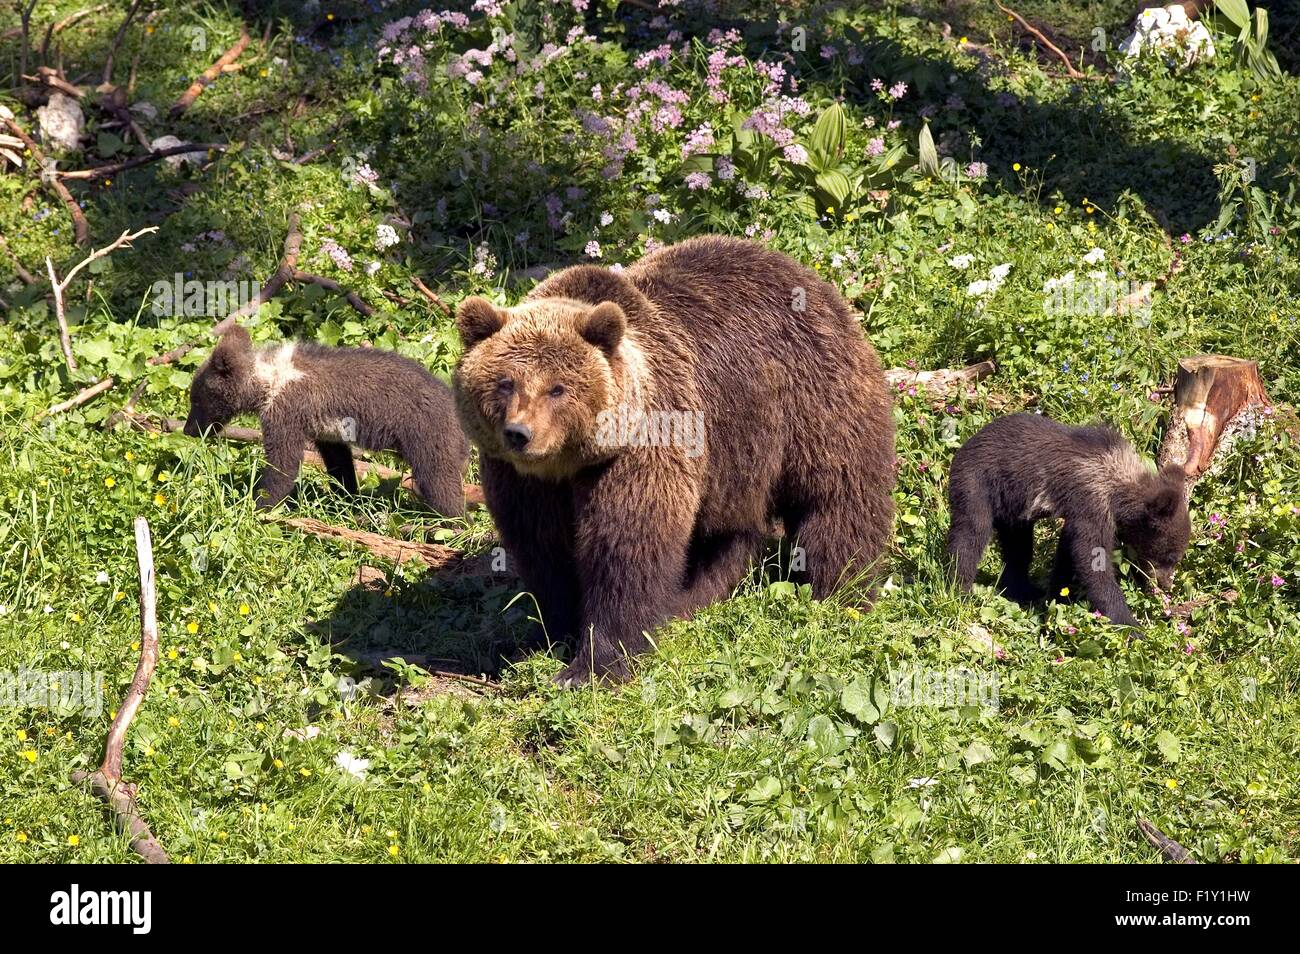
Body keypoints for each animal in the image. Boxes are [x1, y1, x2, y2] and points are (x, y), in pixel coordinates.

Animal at [184, 324, 468, 514]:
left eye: (195, 399)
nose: (188, 430)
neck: (267, 382)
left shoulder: (287, 413)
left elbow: (282, 465)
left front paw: (258, 506)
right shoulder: (327, 431)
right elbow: (339, 463)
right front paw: (348, 498)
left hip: (428, 435)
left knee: (440, 481)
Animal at [454, 235, 896, 686]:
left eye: (557, 388)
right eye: (505, 382)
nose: (520, 433)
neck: (571, 461)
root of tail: (810, 277)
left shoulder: (645, 444)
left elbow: (627, 548)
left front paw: (593, 664)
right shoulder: (525, 482)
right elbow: (543, 548)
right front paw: (549, 635)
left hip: (812, 399)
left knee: (837, 498)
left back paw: (842, 592)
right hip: (734, 455)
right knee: (725, 532)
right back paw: (697, 595)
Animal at [946, 412, 1191, 628]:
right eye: (1171, 556)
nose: (1167, 584)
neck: (1118, 489)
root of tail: (968, 441)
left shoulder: (1079, 513)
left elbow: (1068, 553)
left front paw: (1057, 596)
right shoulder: (1091, 502)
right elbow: (1091, 559)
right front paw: (1130, 624)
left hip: (1013, 508)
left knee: (1018, 548)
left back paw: (1024, 590)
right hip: (978, 482)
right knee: (970, 535)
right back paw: (959, 590)